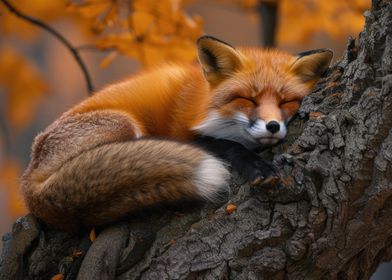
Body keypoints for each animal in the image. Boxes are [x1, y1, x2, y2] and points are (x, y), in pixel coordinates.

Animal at [21, 36, 334, 231]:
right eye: (247, 99)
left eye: (286, 102)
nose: (272, 126)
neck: (204, 104)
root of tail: (28, 186)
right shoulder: (182, 131)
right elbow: (226, 145)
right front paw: (257, 166)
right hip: (124, 125)